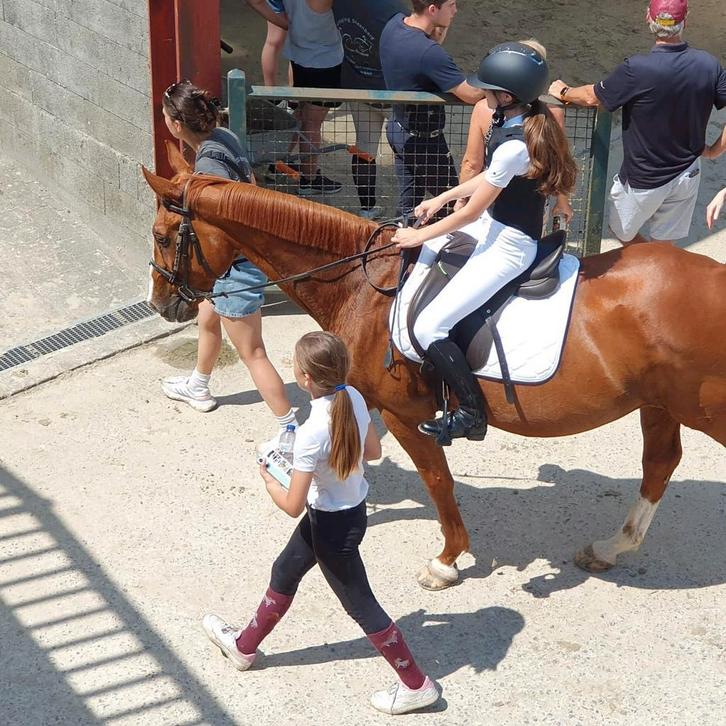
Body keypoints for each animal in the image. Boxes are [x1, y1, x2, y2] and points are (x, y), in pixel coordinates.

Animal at [142, 142, 726, 590]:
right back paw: (610, 546)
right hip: (659, 403)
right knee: (660, 464)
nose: (162, 304)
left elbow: (437, 480)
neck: (362, 282)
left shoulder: (406, 414)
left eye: (163, 236)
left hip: (702, 409)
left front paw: (447, 562)